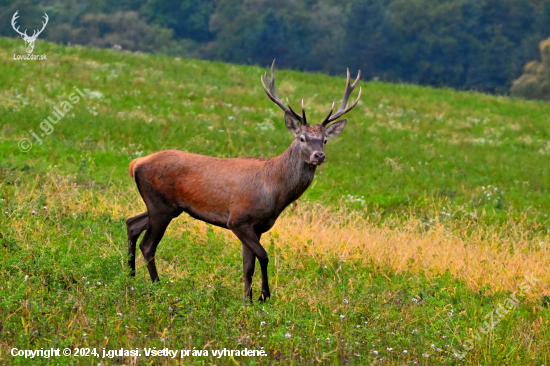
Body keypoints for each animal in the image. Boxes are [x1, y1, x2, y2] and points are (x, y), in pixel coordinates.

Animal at [127, 59, 364, 300]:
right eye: (302, 138)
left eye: (325, 140)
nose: (319, 156)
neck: (274, 192)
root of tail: (135, 164)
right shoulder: (238, 220)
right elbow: (264, 256)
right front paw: (264, 296)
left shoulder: (257, 227)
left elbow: (247, 266)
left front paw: (247, 301)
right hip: (161, 205)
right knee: (148, 245)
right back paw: (157, 284)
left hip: (167, 206)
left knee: (131, 224)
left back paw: (131, 275)